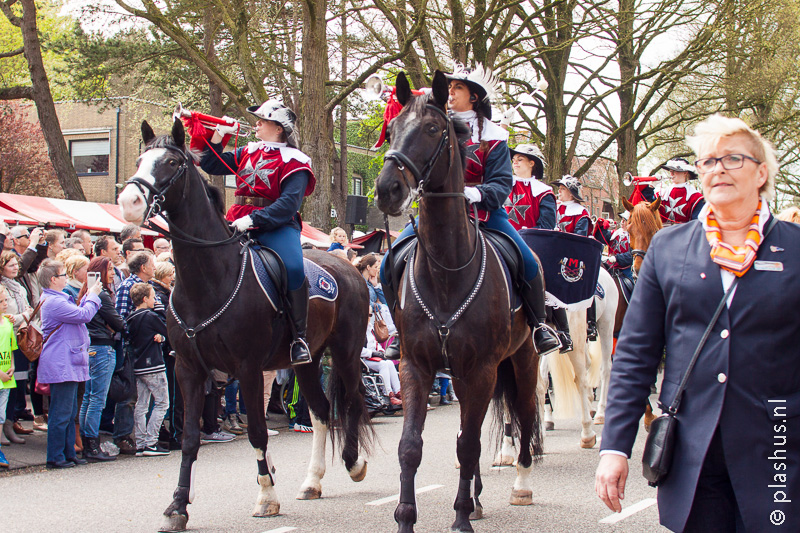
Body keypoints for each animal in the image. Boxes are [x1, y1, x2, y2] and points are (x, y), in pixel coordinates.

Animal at [118, 119, 372, 532]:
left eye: (172, 162)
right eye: (140, 160)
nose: (129, 202)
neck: (209, 279)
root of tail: (350, 268)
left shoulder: (249, 369)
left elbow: (256, 432)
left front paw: (266, 496)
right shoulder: (188, 370)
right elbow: (190, 438)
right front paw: (177, 506)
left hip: (345, 352)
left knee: (349, 402)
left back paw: (353, 463)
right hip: (307, 361)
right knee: (320, 412)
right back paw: (312, 480)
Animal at [376, 71, 544, 532]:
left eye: (434, 128)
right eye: (391, 130)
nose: (386, 190)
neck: (447, 272)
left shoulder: (481, 369)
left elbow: (469, 446)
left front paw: (460, 518)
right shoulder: (416, 366)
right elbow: (411, 446)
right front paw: (406, 518)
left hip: (522, 362)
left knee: (524, 418)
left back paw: (521, 486)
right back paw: (479, 496)